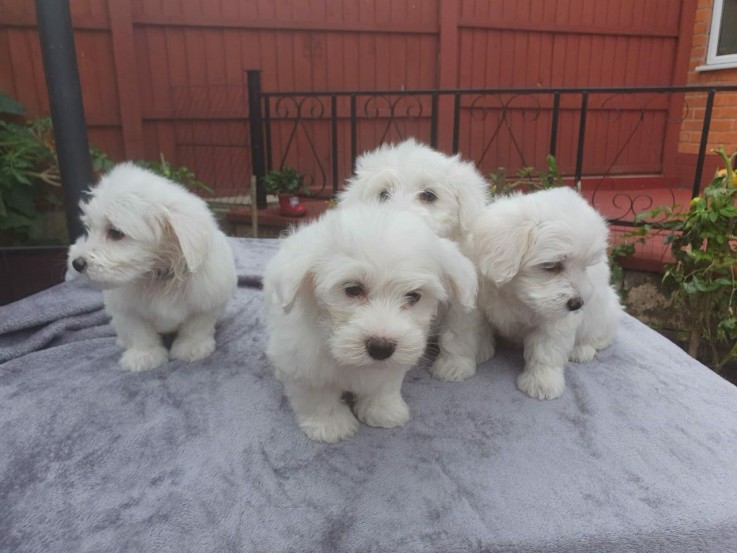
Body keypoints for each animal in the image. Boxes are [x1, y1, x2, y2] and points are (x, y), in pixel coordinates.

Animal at [67, 163, 236, 370]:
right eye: (90, 229)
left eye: (116, 233)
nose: (77, 263)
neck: (159, 275)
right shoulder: (128, 310)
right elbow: (139, 332)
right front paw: (144, 356)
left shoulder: (206, 302)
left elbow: (196, 326)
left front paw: (192, 347)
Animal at [264, 205, 478, 442]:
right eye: (353, 289)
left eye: (414, 296)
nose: (381, 348)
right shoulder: (306, 361)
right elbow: (318, 396)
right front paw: (330, 425)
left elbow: (383, 386)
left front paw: (383, 411)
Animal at [472, 188, 620, 398]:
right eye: (551, 265)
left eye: (585, 267)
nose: (578, 303)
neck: (516, 296)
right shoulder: (481, 303)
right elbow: (479, 328)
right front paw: (477, 352)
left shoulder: (556, 321)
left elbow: (546, 351)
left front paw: (542, 383)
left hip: (603, 312)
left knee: (599, 336)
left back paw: (582, 350)